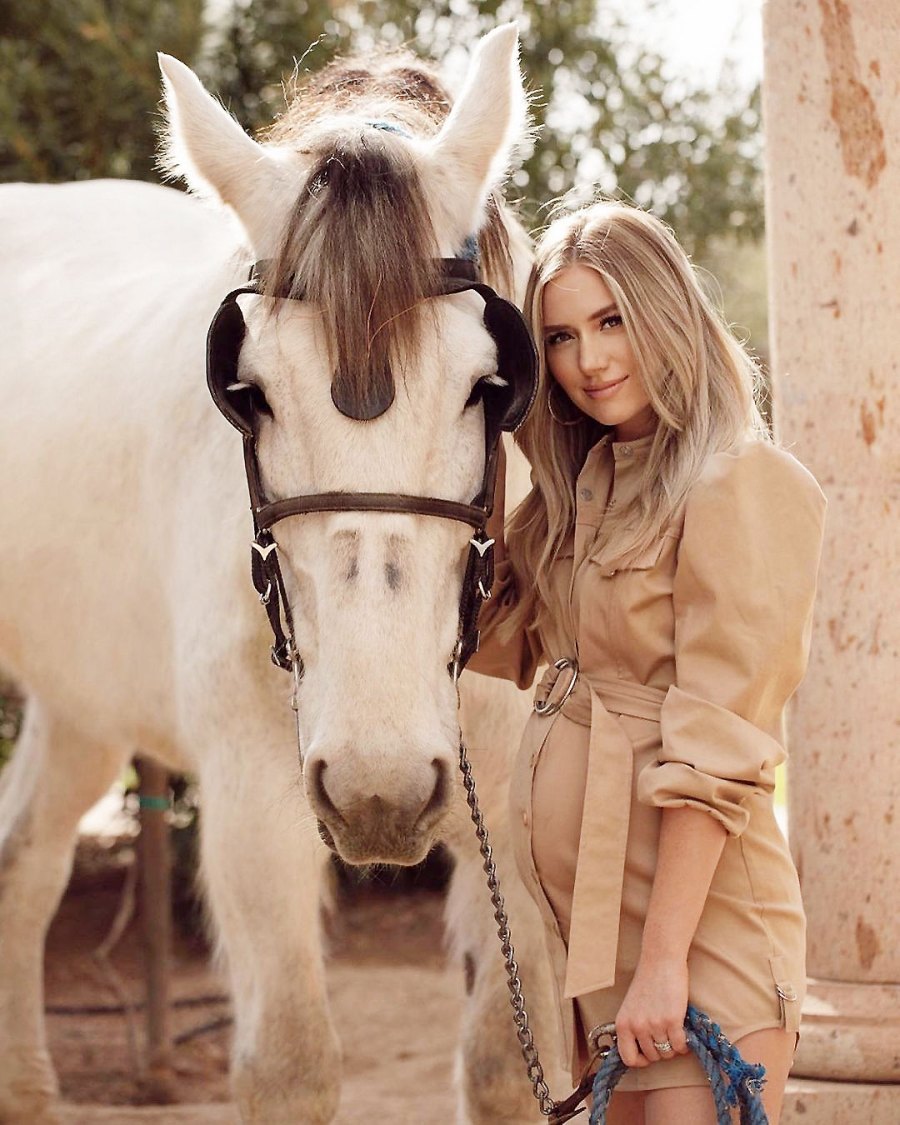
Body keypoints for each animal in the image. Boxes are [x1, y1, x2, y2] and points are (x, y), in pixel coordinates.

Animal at [0, 21, 562, 1120]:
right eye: (247, 389)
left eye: (491, 382)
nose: (380, 788)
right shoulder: (255, 794)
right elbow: (290, 1064)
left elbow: (505, 1067)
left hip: (82, 693)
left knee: (24, 863)